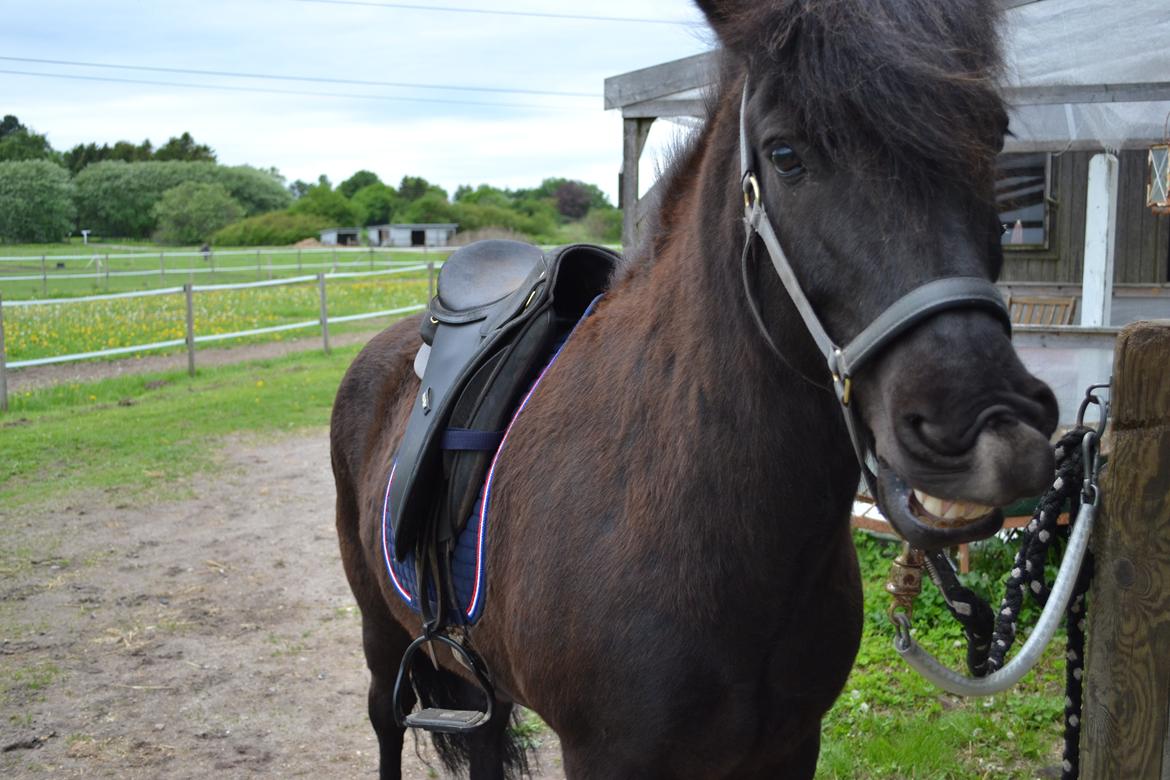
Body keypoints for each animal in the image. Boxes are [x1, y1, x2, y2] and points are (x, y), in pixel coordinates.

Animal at [329, 1, 1062, 776]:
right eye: (785, 154)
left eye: (995, 135)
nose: (992, 427)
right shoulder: (607, 756)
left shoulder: (790, 745)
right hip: (382, 637)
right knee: (386, 722)